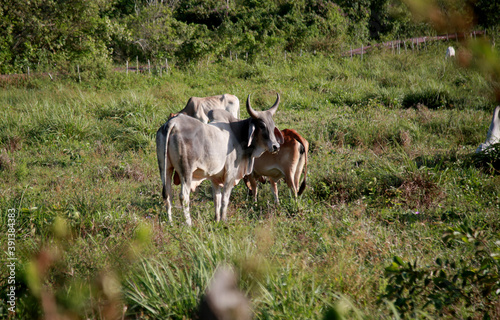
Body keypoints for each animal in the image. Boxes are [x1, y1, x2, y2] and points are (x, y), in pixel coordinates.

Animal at [156, 93, 284, 225]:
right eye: (262, 125)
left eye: (272, 125)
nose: (276, 146)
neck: (237, 133)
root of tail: (173, 123)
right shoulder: (230, 174)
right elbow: (224, 199)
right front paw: (224, 220)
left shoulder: (215, 178)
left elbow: (216, 199)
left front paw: (217, 220)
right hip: (186, 171)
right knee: (183, 196)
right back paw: (188, 224)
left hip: (165, 168)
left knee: (167, 194)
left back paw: (170, 223)